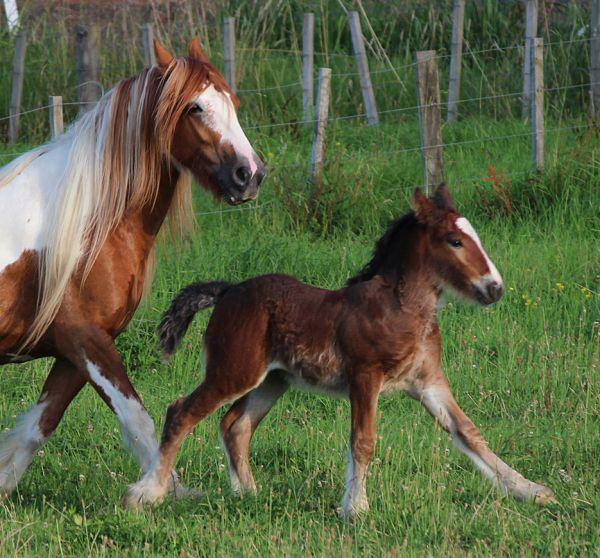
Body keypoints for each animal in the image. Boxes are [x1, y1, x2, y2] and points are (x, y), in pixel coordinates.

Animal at [0, 38, 264, 498]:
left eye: (231, 101)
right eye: (195, 107)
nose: (249, 175)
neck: (83, 220)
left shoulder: (74, 349)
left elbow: (34, 430)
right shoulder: (85, 338)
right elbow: (138, 420)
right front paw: (158, 493)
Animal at [123, 187, 556, 516]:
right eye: (455, 241)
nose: (494, 288)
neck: (402, 309)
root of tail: (228, 291)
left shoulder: (429, 383)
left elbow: (469, 432)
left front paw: (530, 490)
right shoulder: (365, 376)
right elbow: (363, 440)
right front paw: (354, 508)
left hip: (273, 380)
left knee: (236, 426)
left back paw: (249, 494)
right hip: (234, 371)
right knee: (181, 412)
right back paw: (146, 493)